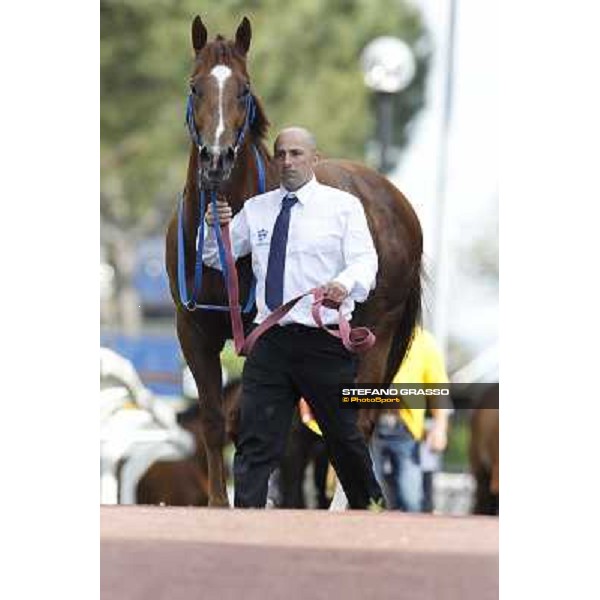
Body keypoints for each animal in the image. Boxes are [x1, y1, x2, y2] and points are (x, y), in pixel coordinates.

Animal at [165, 16, 422, 506]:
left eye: (244, 89)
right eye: (194, 86)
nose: (216, 159)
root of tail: (395, 199)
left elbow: (261, 423)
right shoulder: (193, 329)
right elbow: (215, 420)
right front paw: (220, 503)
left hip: (377, 330)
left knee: (356, 421)